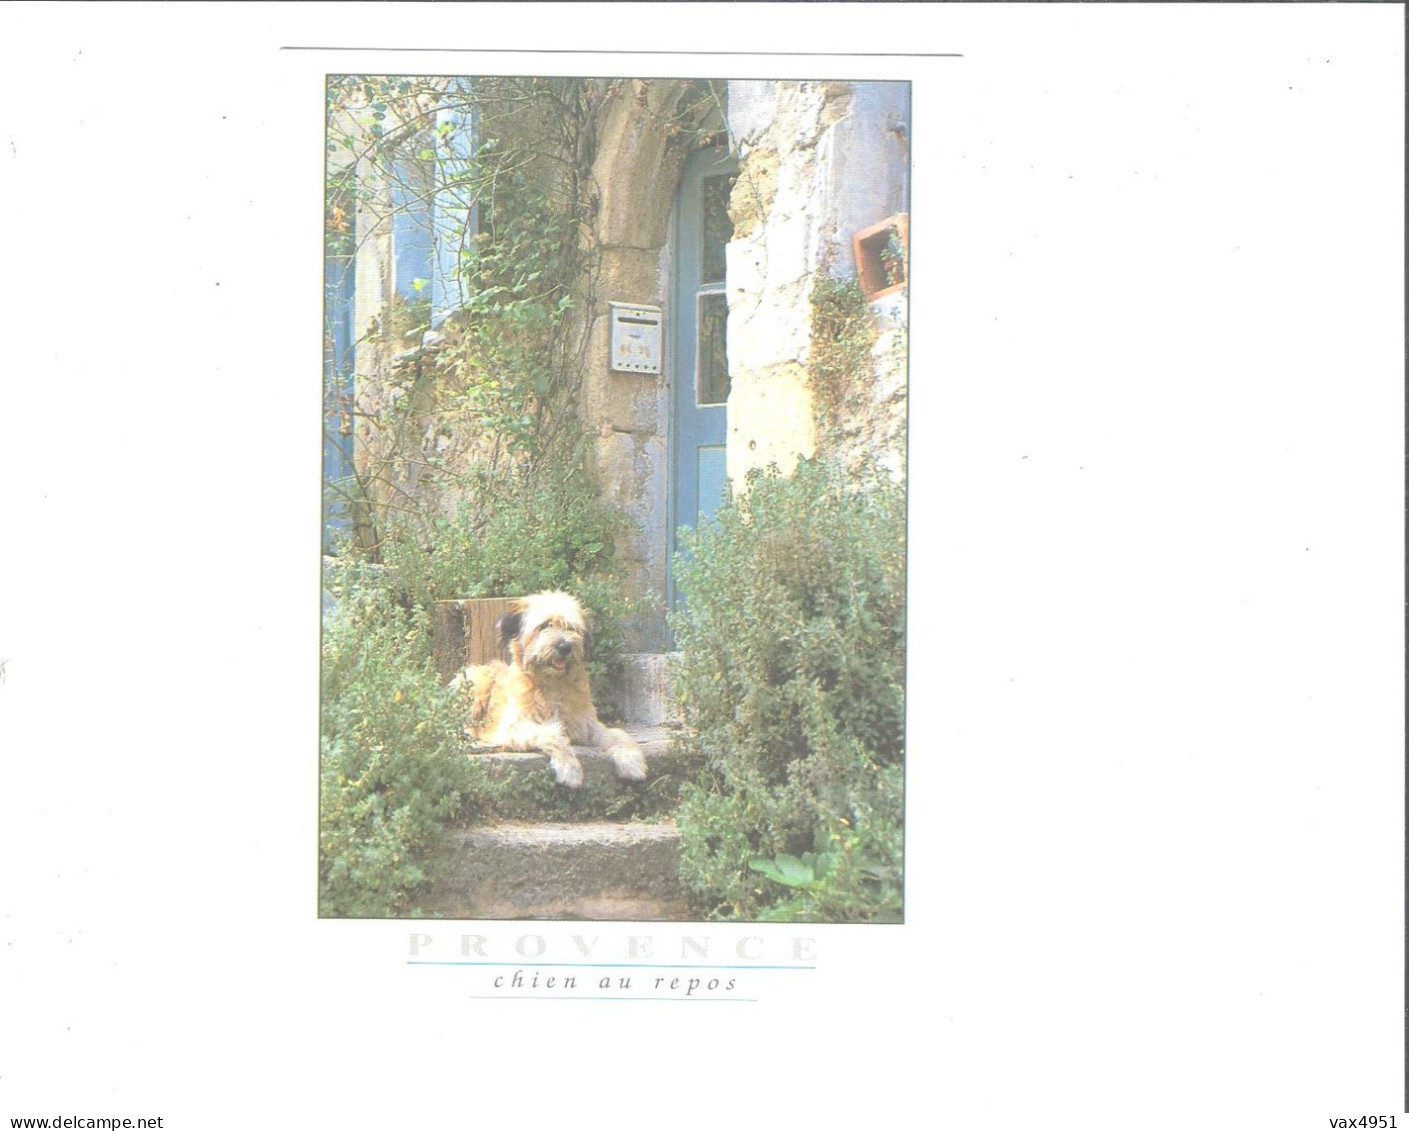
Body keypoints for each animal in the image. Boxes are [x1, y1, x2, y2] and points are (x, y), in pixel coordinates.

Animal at [451, 591, 647, 789]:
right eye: (544, 625)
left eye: (571, 627)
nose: (565, 647)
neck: (552, 683)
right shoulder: (511, 729)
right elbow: (552, 734)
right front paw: (570, 769)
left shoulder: (586, 725)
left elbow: (617, 734)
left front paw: (631, 761)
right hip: (474, 683)